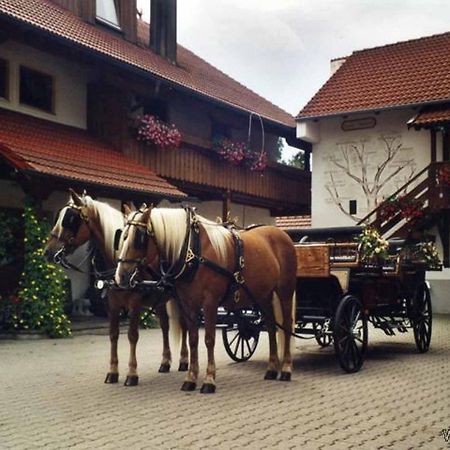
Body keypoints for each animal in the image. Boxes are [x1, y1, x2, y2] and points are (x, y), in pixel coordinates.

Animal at [44, 190, 188, 386]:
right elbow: (113, 335)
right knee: (165, 326)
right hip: (159, 300)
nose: (48, 252)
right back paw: (165, 362)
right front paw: (112, 372)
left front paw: (132, 374)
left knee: (184, 325)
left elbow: (132, 335)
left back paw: (184, 360)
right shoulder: (111, 304)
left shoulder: (135, 304)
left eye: (71, 219)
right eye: (58, 217)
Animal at [114, 207, 298, 394]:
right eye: (122, 237)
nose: (121, 276)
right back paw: (271, 369)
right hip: (264, 296)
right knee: (271, 326)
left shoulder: (210, 303)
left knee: (287, 326)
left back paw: (285, 369)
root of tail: (283, 235)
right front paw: (190, 378)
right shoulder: (188, 304)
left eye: (139, 238)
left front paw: (209, 380)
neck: (193, 250)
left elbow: (209, 339)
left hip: (284, 291)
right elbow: (193, 339)